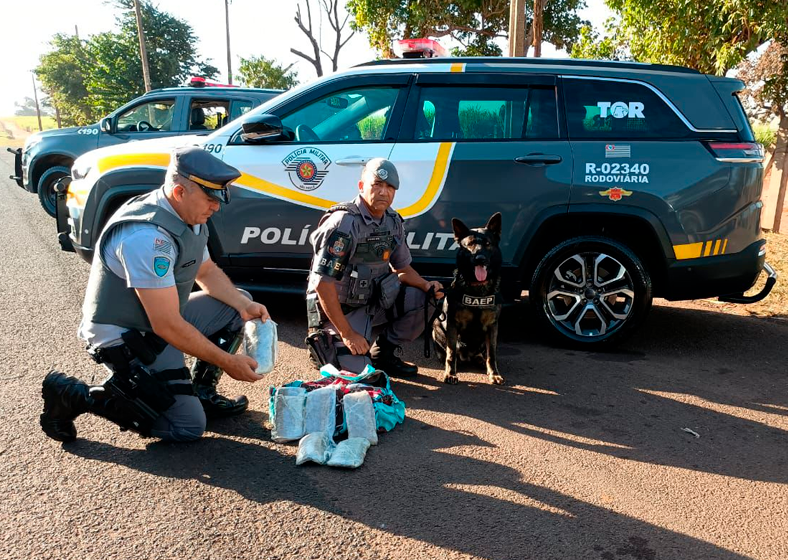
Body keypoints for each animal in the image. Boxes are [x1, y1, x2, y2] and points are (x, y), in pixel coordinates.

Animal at [430, 213, 504, 384]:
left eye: (488, 244)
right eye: (469, 244)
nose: (479, 258)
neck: (477, 289)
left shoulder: (493, 326)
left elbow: (492, 355)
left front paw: (494, 373)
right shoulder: (452, 324)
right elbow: (451, 354)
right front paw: (450, 373)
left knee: (482, 354)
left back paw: (480, 360)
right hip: (437, 324)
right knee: (449, 353)